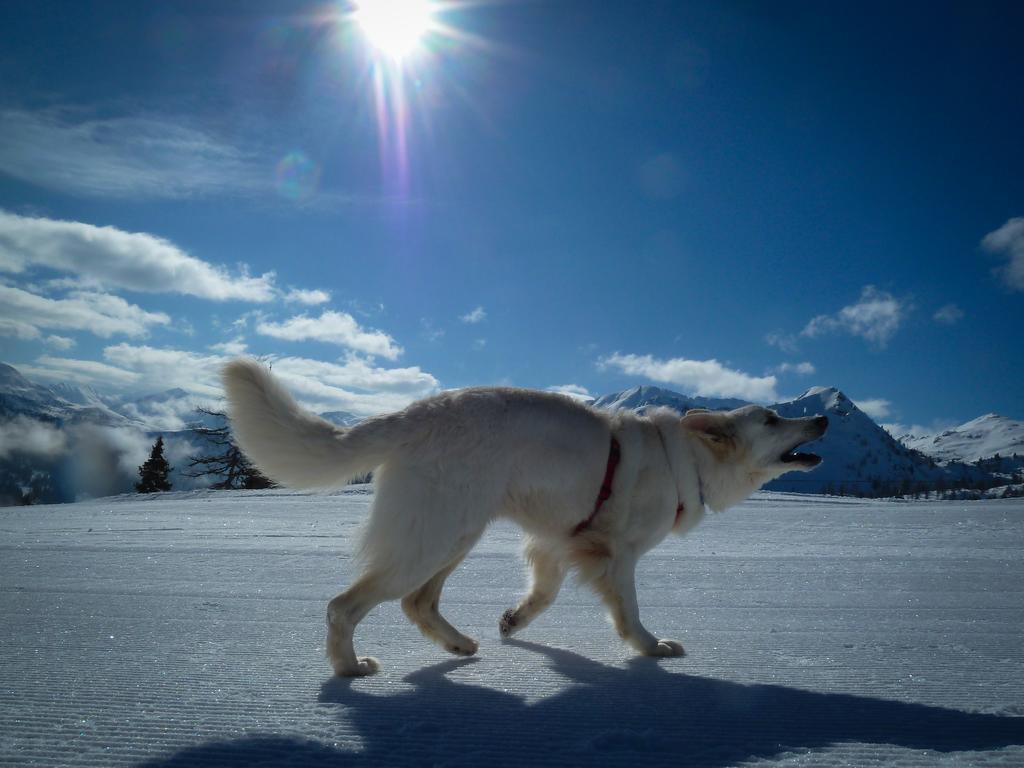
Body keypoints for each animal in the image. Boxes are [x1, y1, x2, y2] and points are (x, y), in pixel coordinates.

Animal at [222, 358, 823, 675]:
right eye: (772, 418)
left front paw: (514, 622)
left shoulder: (555, 545)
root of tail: (416, 411)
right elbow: (629, 613)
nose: (821, 420)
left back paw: (458, 646)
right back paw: (350, 669)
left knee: (418, 602)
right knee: (344, 606)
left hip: (458, 535)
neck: (683, 460)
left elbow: (543, 596)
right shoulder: (617, 555)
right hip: (434, 538)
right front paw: (651, 648)